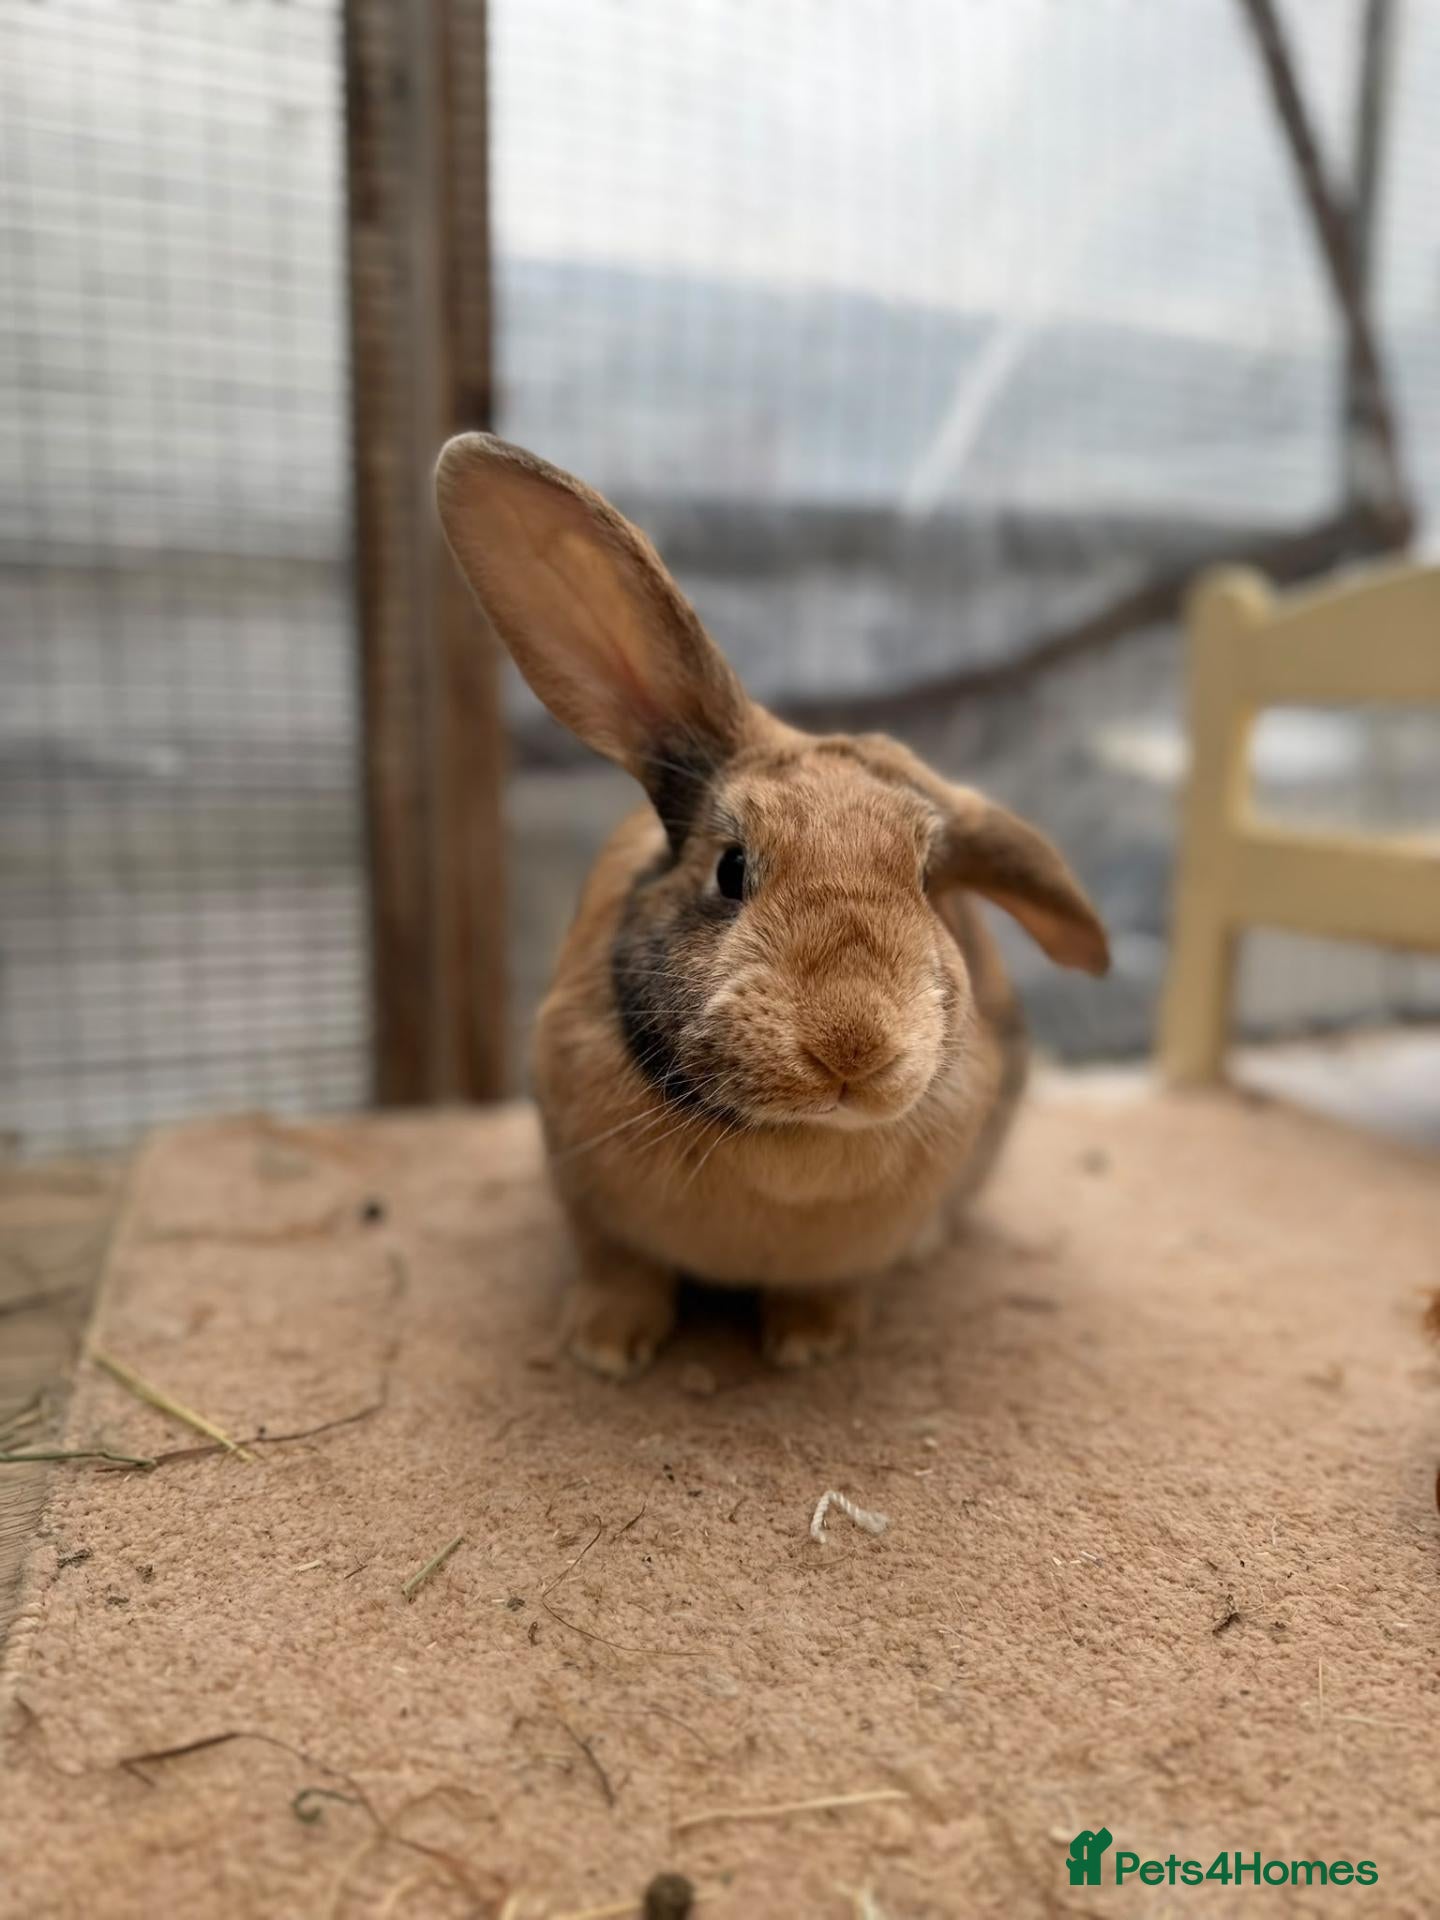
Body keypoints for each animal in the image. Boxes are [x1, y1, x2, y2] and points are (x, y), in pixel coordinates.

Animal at [435, 435, 1109, 1378]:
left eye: (930, 883)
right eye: (731, 869)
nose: (851, 1048)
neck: (794, 1139)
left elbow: (827, 1284)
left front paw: (811, 1343)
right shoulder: (587, 1199)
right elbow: (621, 1268)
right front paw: (605, 1349)